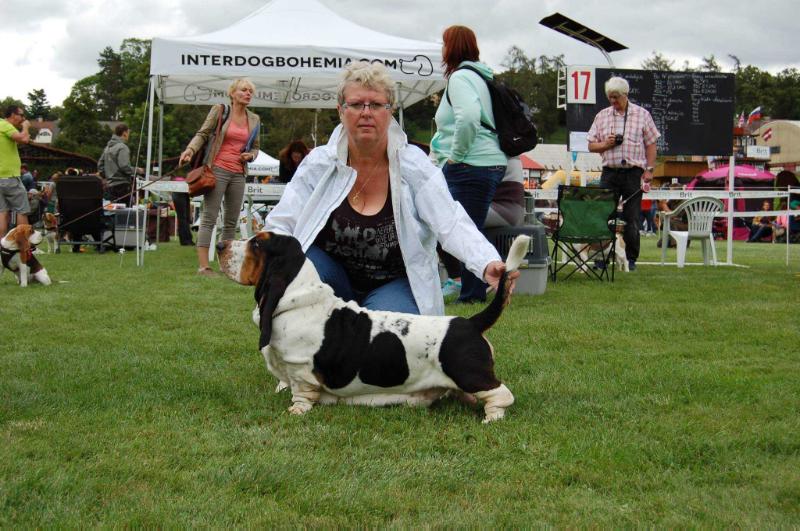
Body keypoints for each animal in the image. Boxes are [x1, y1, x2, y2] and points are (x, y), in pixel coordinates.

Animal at [217, 233, 532, 424]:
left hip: (468, 373)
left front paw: (296, 410)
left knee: (501, 394)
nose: (219, 245)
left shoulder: (301, 369)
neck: (296, 296)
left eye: (257, 244)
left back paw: (491, 417)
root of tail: (470, 322)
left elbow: (302, 393)